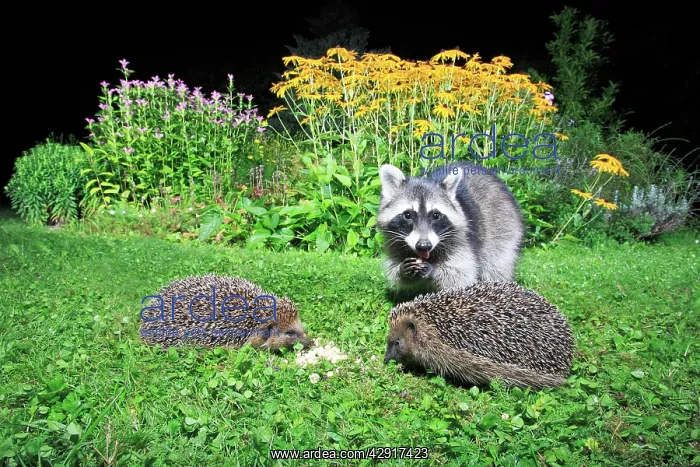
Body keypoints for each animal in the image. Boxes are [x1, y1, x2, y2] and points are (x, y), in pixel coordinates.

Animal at [377, 161, 524, 296]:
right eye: (408, 215)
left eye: (436, 215)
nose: (424, 246)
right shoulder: (395, 242)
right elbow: (396, 271)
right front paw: (402, 270)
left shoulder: (461, 240)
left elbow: (461, 273)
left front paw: (434, 269)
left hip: (504, 226)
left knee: (496, 264)